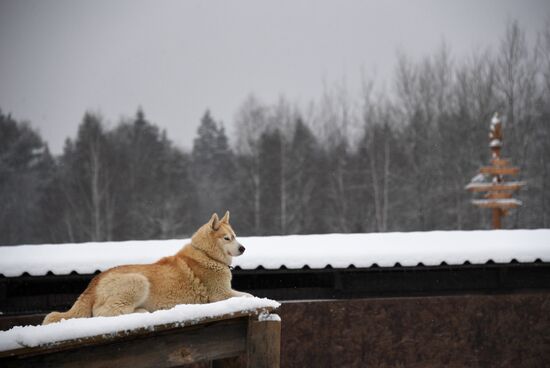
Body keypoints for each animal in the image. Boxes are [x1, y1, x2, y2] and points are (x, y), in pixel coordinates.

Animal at [44, 210, 251, 324]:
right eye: (227, 238)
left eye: (235, 236)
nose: (243, 248)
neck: (207, 255)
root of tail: (95, 281)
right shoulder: (220, 294)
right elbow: (248, 296)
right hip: (138, 280)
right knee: (102, 313)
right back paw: (141, 311)